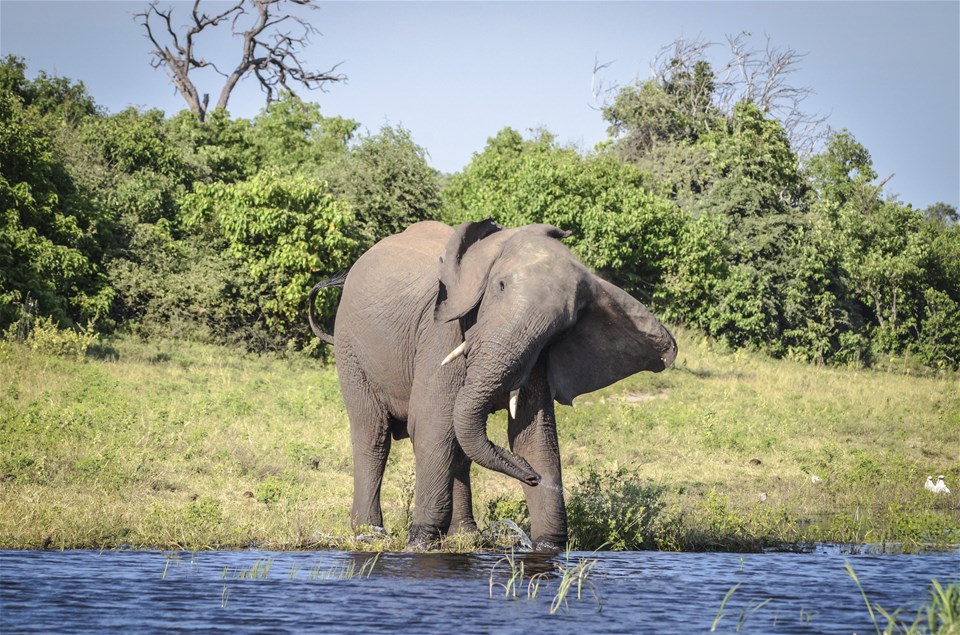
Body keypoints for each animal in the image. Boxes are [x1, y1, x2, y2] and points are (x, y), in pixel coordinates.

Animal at [308, 220, 676, 552]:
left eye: (564, 327)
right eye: (499, 286)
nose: (531, 476)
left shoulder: (536, 355)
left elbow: (533, 436)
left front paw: (548, 547)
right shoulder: (441, 330)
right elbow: (431, 425)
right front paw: (421, 544)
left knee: (458, 445)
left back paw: (465, 537)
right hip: (350, 347)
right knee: (374, 433)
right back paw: (368, 535)